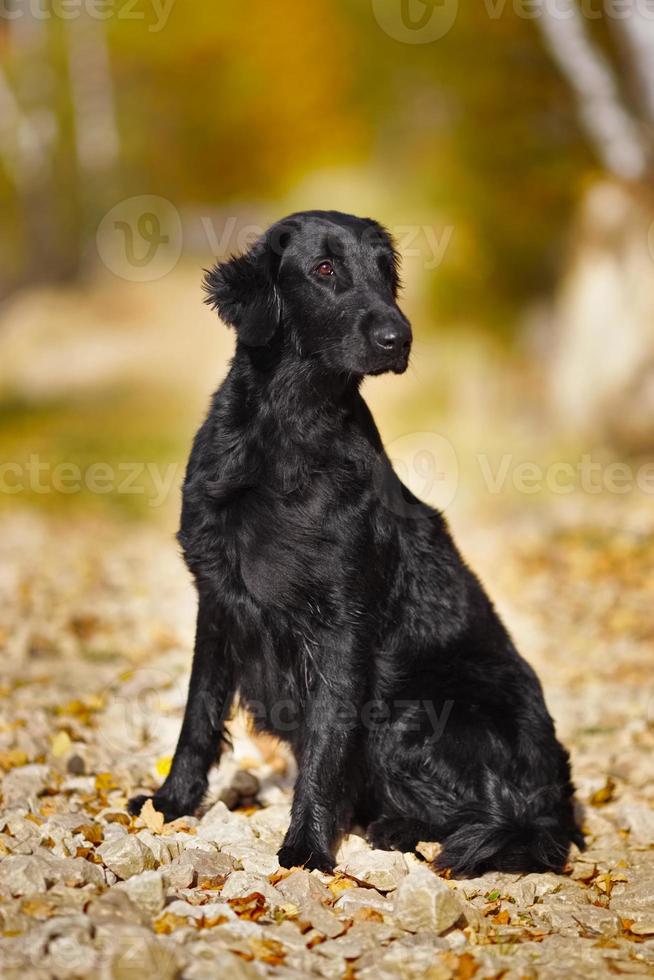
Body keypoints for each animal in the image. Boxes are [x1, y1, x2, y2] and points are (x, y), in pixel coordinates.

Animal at [129, 209, 584, 872]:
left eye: (385, 272)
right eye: (325, 269)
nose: (400, 338)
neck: (287, 431)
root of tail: (555, 802)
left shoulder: (343, 624)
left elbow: (327, 742)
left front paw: (306, 849)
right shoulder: (216, 598)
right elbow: (198, 713)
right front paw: (171, 803)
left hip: (416, 709)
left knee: (493, 822)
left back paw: (396, 829)